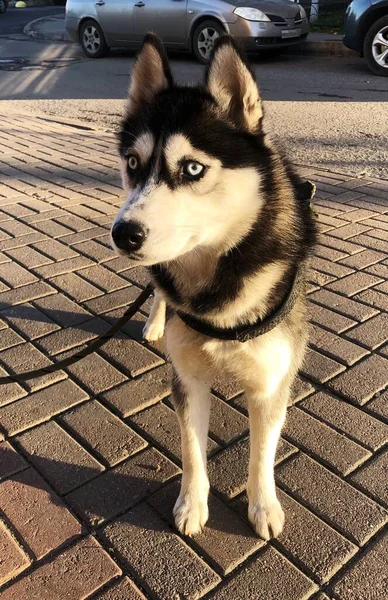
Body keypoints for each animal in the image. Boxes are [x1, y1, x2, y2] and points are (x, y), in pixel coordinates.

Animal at [110, 31, 316, 540]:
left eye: (192, 169)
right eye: (133, 162)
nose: (124, 234)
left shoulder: (270, 384)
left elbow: (262, 456)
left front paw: (263, 507)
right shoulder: (187, 379)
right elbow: (191, 451)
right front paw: (192, 504)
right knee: (158, 289)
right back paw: (155, 322)